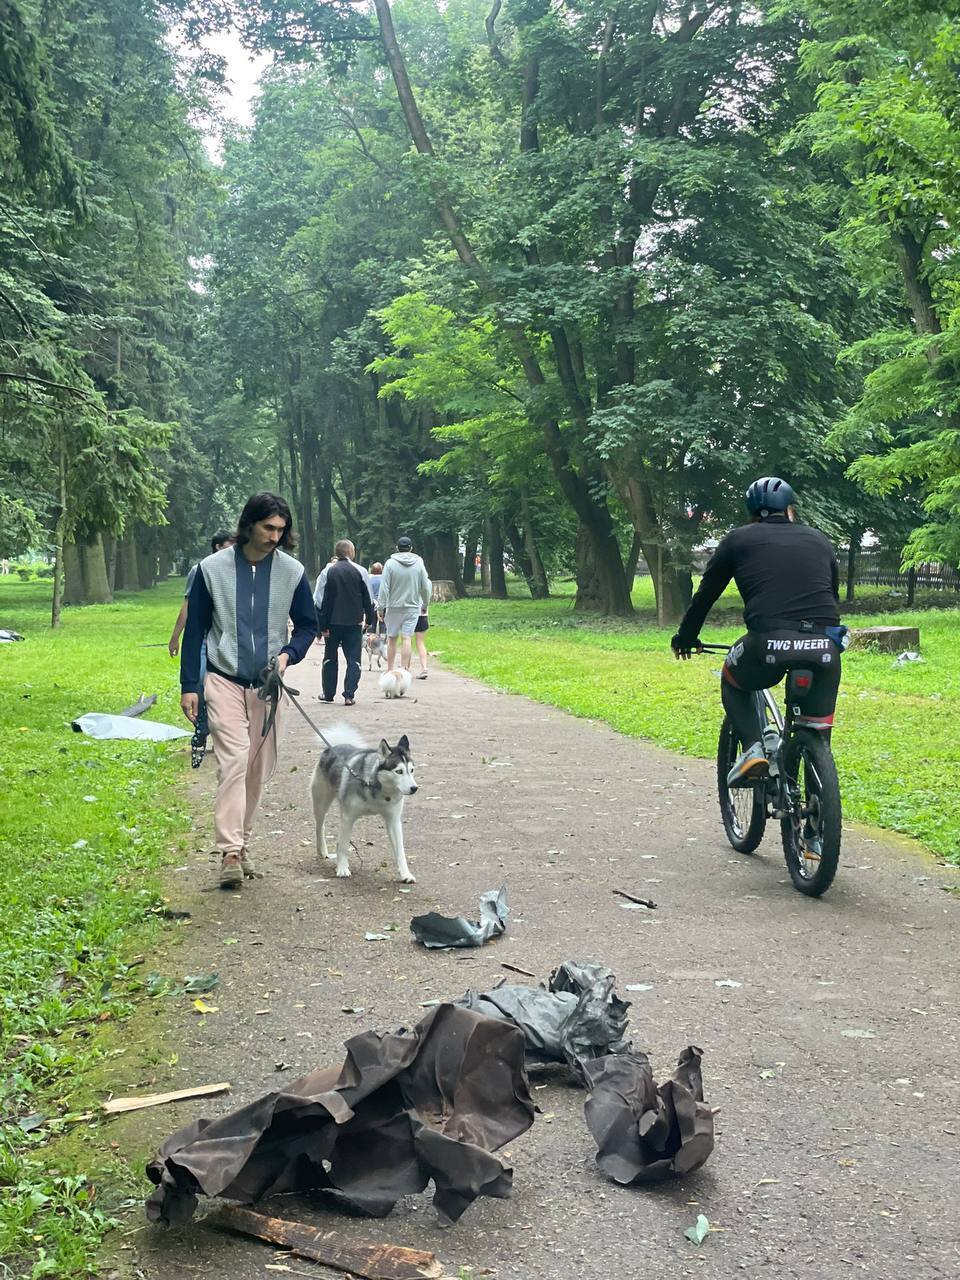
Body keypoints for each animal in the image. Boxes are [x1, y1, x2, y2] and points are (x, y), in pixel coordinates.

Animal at [313, 732, 419, 880]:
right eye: (399, 771)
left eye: (412, 770)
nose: (414, 788)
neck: (378, 788)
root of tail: (334, 747)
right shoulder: (348, 818)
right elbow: (344, 847)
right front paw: (342, 869)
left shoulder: (393, 821)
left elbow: (400, 851)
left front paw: (405, 874)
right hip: (321, 804)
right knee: (320, 826)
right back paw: (322, 850)